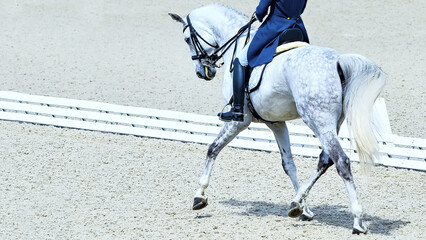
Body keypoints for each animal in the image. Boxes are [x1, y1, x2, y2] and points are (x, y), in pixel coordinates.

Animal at [169, 3, 386, 233]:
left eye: (187, 39)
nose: (202, 72)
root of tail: (337, 61)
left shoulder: (239, 121)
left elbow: (213, 148)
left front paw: (199, 196)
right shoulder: (276, 123)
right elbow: (288, 163)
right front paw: (304, 209)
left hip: (318, 121)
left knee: (341, 162)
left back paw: (358, 220)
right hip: (331, 123)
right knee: (325, 160)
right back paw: (296, 202)